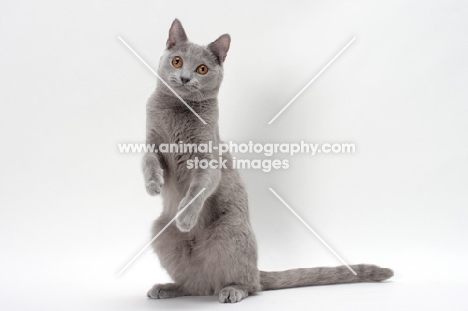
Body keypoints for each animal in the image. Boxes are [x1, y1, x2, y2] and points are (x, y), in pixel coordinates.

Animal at [142, 19, 392, 304]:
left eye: (202, 69)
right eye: (176, 61)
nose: (185, 78)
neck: (178, 109)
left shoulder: (208, 159)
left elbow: (198, 188)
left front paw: (185, 218)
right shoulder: (152, 142)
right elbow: (148, 161)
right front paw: (153, 185)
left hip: (230, 230)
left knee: (248, 284)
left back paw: (232, 290)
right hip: (161, 233)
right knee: (196, 285)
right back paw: (167, 287)